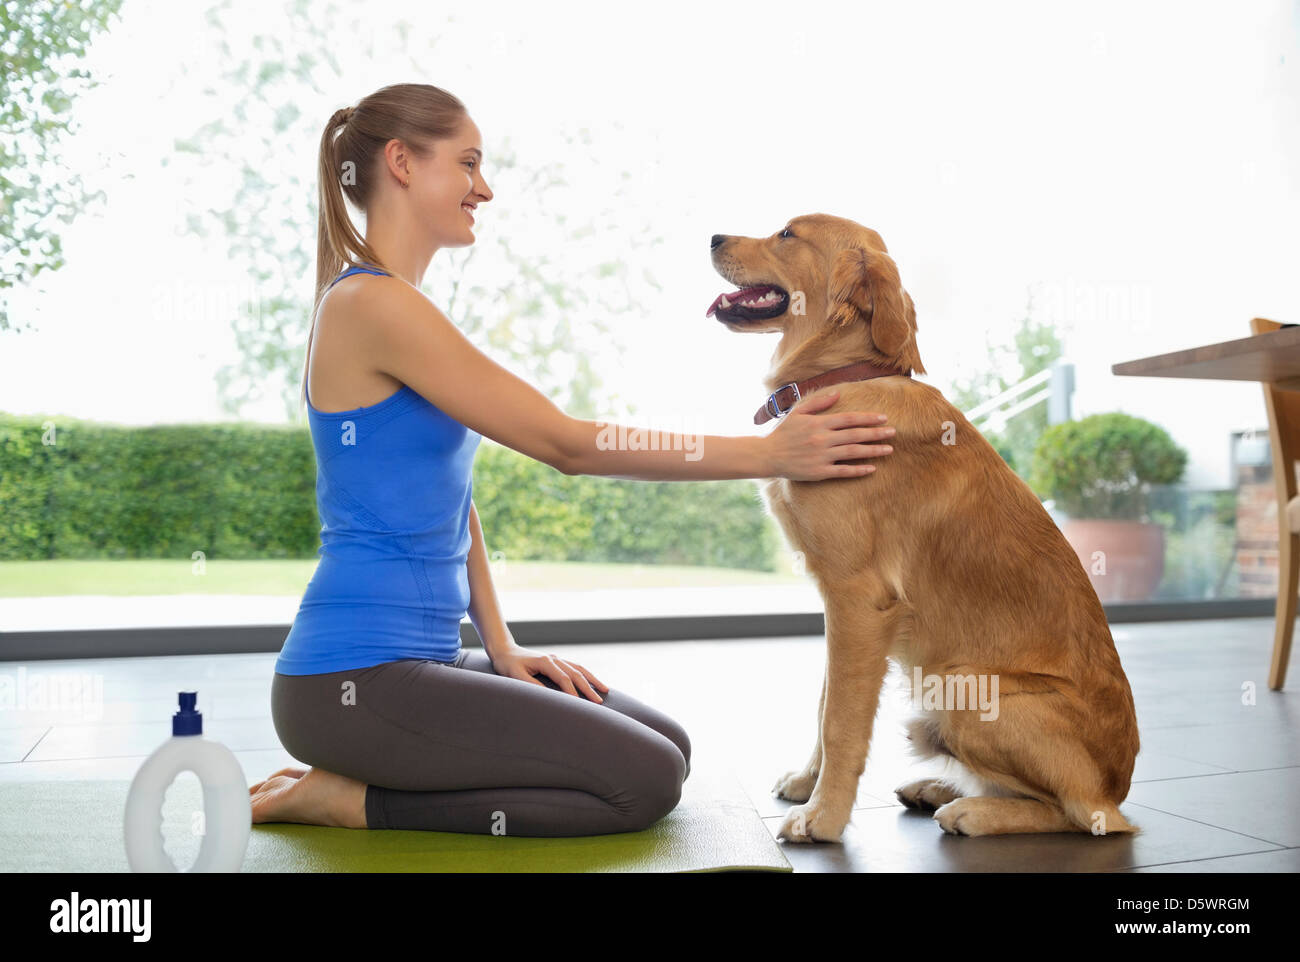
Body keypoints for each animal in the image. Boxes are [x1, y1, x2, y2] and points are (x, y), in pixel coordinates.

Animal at [707, 215, 1144, 842]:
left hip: (964, 686)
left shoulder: (859, 599)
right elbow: (824, 704)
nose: (713, 238)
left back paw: (971, 811)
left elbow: (840, 721)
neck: (846, 377)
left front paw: (823, 816)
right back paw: (939, 787)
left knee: (1079, 814)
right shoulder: (839, 605)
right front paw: (807, 785)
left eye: (788, 234)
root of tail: (1118, 785)